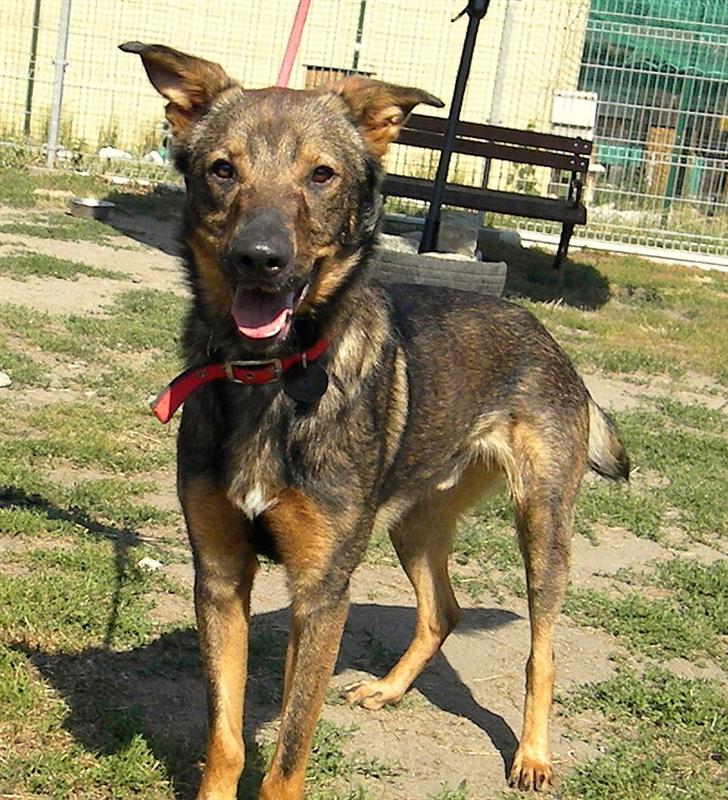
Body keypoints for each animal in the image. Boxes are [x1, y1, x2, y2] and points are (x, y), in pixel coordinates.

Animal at [121, 42, 629, 800]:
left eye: (321, 174)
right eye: (222, 169)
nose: (260, 258)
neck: (271, 377)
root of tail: (541, 331)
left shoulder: (321, 592)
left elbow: (287, 755)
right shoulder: (219, 575)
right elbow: (226, 740)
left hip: (541, 523)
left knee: (542, 649)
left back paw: (533, 755)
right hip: (413, 522)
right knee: (442, 610)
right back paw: (389, 689)